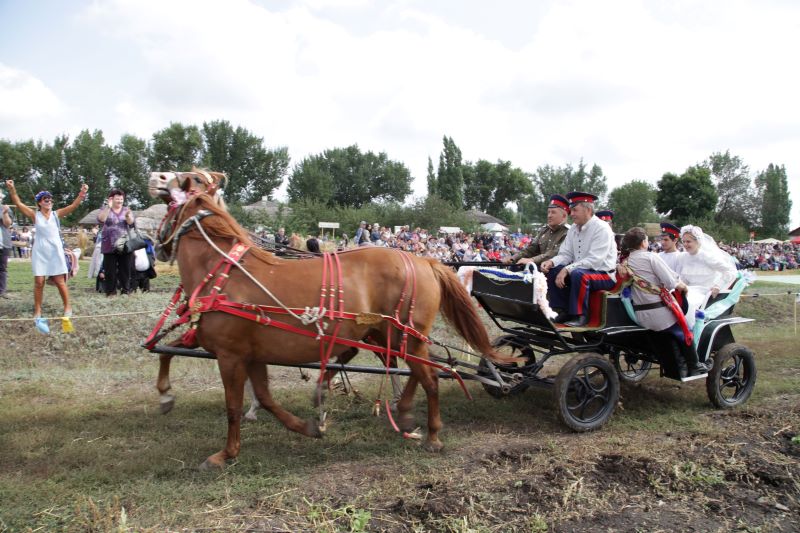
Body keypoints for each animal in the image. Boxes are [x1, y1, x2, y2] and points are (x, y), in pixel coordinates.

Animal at [152, 191, 496, 466]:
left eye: (167, 207)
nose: (157, 245)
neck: (225, 274)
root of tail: (426, 262)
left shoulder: (230, 354)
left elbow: (233, 406)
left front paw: (225, 453)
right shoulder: (251, 354)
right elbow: (261, 396)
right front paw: (306, 426)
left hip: (405, 336)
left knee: (430, 378)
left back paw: (432, 434)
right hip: (397, 336)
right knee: (417, 370)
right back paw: (404, 411)